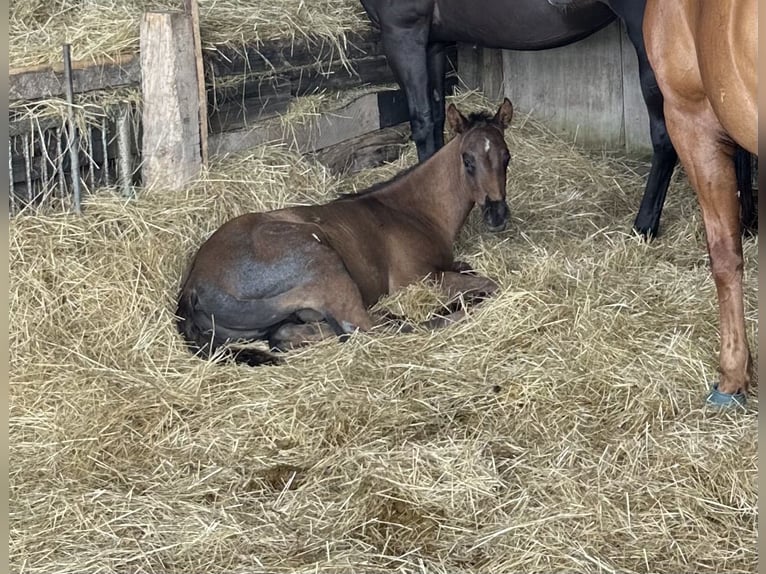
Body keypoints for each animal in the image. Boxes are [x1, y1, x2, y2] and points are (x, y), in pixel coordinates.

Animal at [176, 99, 514, 366]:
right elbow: (489, 283)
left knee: (287, 333)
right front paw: (464, 300)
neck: (413, 212)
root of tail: (193, 285)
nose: (497, 214)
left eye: (506, 157)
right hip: (324, 264)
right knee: (371, 329)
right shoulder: (420, 279)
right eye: (468, 161)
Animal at [359, 0, 755, 239]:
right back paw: (746, 223)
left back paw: (644, 226)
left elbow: (423, 122)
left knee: (665, 136)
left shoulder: (404, 33)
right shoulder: (433, 43)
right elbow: (440, 119)